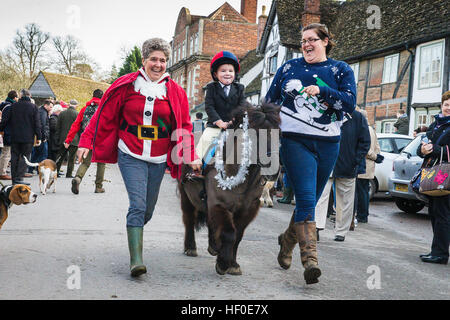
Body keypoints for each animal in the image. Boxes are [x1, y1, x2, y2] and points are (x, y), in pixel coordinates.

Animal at [178, 102, 278, 276]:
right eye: (255, 134)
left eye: (279, 133)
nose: (274, 170)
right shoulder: (219, 204)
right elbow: (229, 233)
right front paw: (223, 263)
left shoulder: (247, 210)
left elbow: (238, 235)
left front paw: (232, 263)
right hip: (186, 196)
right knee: (189, 218)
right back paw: (191, 247)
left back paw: (213, 246)